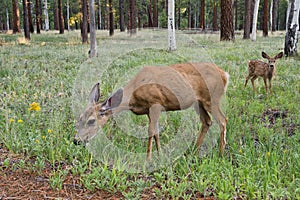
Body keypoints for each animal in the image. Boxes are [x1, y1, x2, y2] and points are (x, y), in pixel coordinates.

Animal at [75, 62, 230, 161]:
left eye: (91, 121)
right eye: (80, 118)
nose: (76, 140)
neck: (133, 97)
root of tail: (224, 75)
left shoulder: (155, 103)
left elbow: (150, 131)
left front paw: (148, 159)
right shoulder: (148, 111)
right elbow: (155, 132)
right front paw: (159, 153)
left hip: (212, 99)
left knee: (223, 120)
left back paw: (221, 154)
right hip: (198, 103)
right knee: (207, 121)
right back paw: (194, 151)